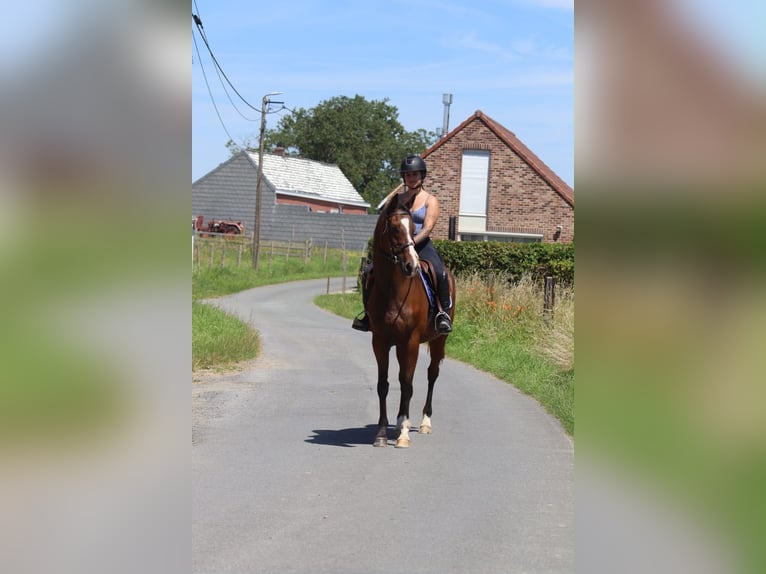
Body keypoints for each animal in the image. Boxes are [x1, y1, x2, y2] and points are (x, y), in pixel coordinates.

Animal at [365, 196, 456, 448]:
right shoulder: (380, 342)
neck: (393, 291)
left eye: (414, 229)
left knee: (432, 374)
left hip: (438, 340)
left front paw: (404, 434)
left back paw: (424, 422)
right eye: (395, 228)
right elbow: (384, 384)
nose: (411, 266)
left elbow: (407, 383)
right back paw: (398, 423)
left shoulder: (411, 341)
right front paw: (382, 433)